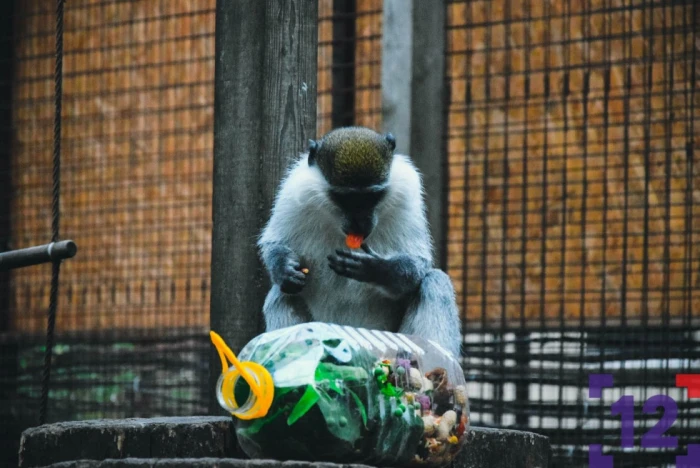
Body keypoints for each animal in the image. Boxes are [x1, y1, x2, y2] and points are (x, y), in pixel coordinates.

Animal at [254, 126, 462, 356]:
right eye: (346, 198)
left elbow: (417, 265)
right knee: (282, 294)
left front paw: (377, 269)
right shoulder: (293, 194)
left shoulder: (408, 195)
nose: (360, 223)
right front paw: (284, 268)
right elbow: (273, 244)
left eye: (371, 197)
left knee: (435, 281)